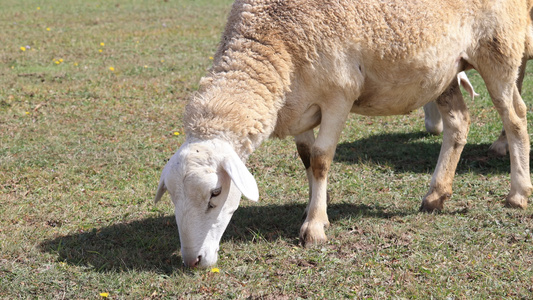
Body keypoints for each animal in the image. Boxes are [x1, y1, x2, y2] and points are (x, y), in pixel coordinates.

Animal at [154, 0, 532, 268]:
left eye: (215, 193)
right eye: (172, 196)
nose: (192, 261)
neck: (273, 40)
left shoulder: (338, 95)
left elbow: (321, 160)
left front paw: (315, 227)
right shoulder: (300, 110)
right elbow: (306, 160)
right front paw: (311, 210)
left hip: (499, 48)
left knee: (515, 118)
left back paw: (517, 193)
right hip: (444, 69)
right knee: (458, 123)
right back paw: (436, 195)